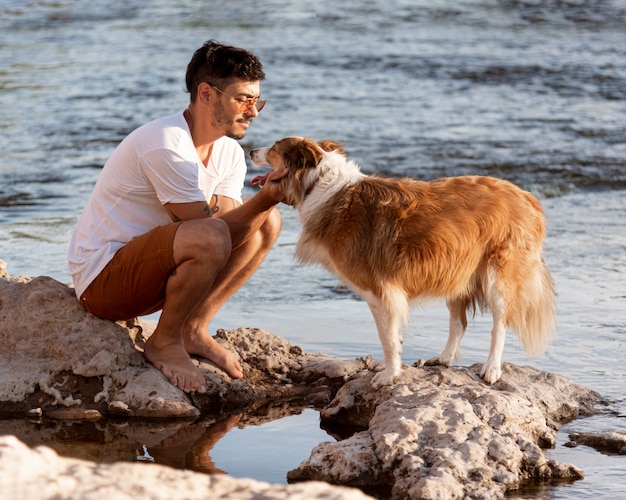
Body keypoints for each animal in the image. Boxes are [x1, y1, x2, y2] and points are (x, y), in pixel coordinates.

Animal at [249, 139, 552, 388]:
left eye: (274, 147)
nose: (251, 150)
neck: (318, 185)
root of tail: (527, 197)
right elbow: (393, 335)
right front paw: (388, 367)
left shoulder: (379, 291)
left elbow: (387, 338)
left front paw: (389, 375)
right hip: (457, 271)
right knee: (460, 322)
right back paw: (443, 359)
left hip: (497, 275)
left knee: (499, 324)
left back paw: (491, 368)